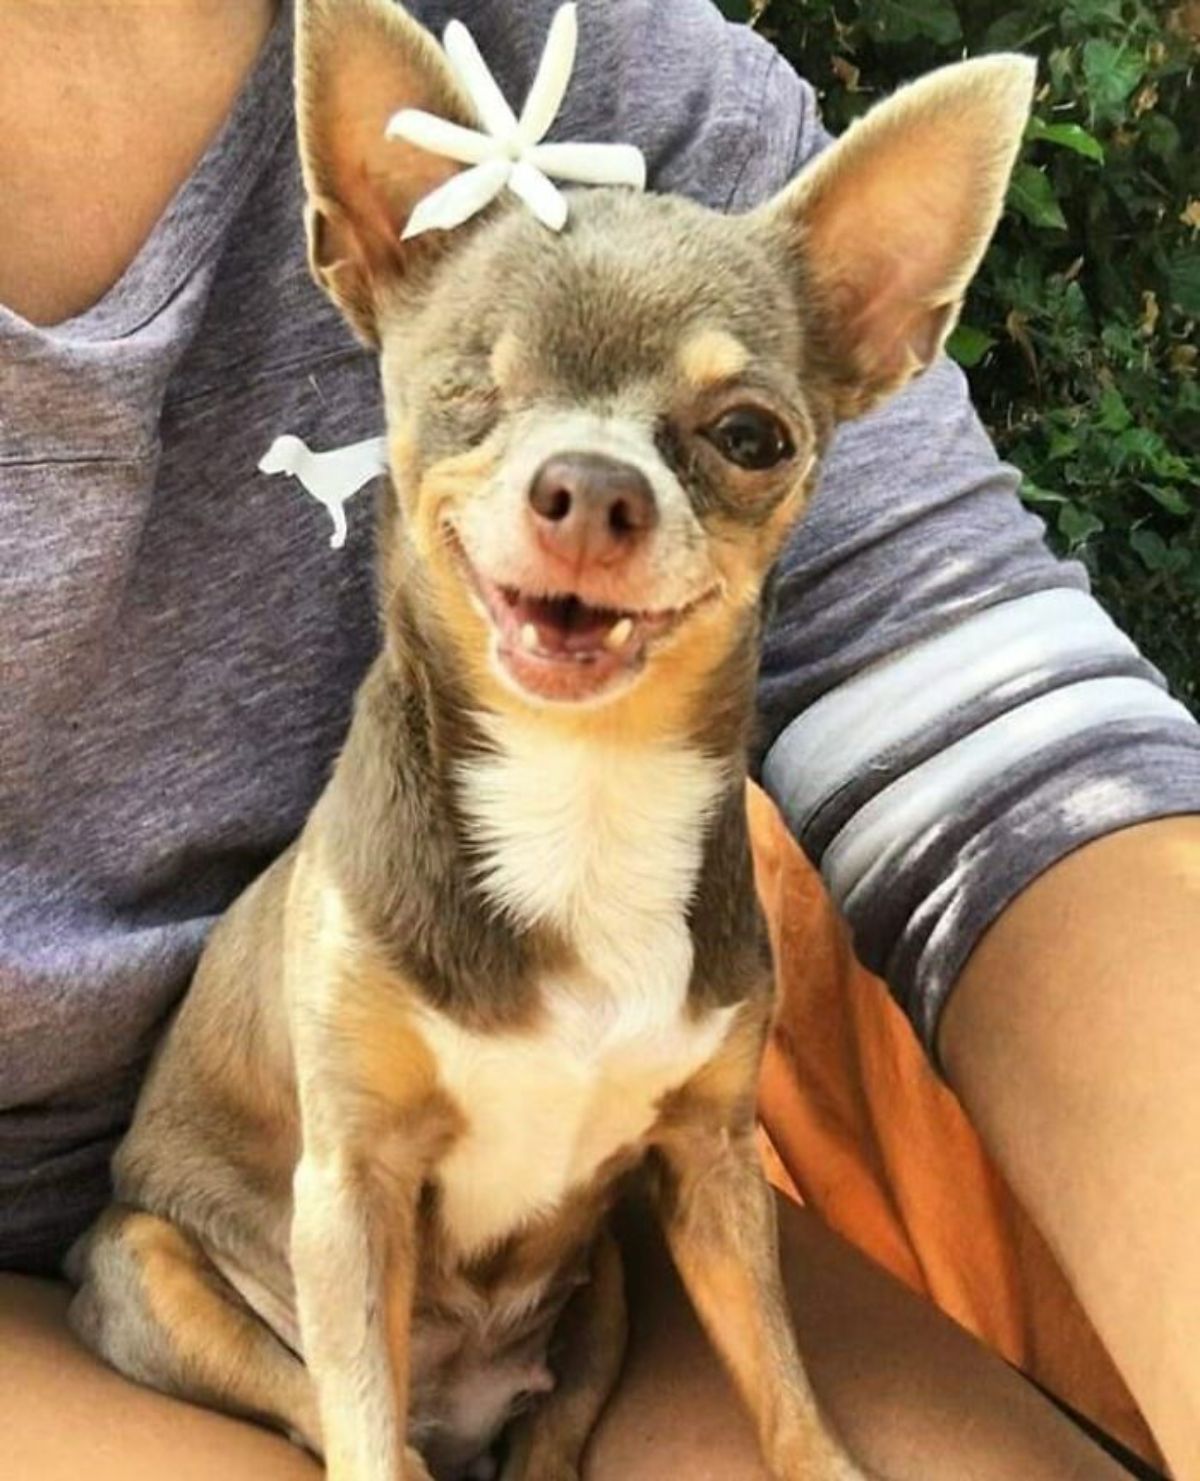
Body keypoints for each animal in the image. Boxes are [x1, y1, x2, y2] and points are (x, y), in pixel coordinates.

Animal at [67, 5, 1031, 1475]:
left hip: (612, 1287)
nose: (591, 486)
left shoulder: (712, 1168)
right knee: (352, 1417)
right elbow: (361, 1422)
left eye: (750, 435)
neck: (582, 789)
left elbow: (783, 1380)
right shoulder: (349, 1186)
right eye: (470, 390)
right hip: (152, 1268)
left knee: (554, 1427)